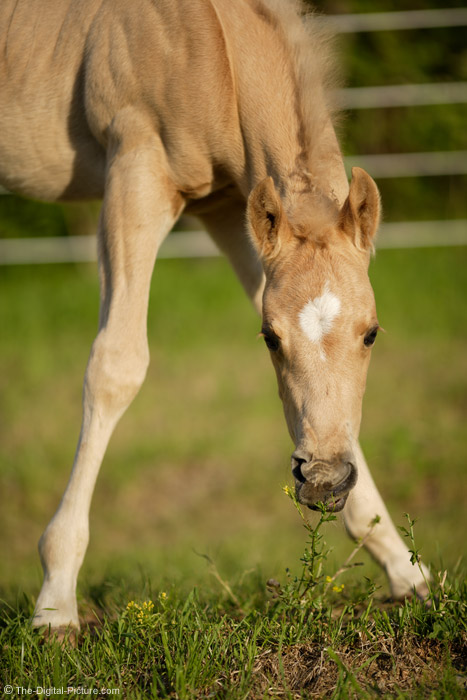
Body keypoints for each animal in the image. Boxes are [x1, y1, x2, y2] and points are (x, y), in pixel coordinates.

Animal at [0, 0, 430, 636]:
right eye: (270, 339)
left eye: (372, 333)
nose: (324, 481)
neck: (210, 41)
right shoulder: (136, 174)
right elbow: (116, 366)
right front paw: (55, 603)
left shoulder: (231, 209)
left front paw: (408, 573)